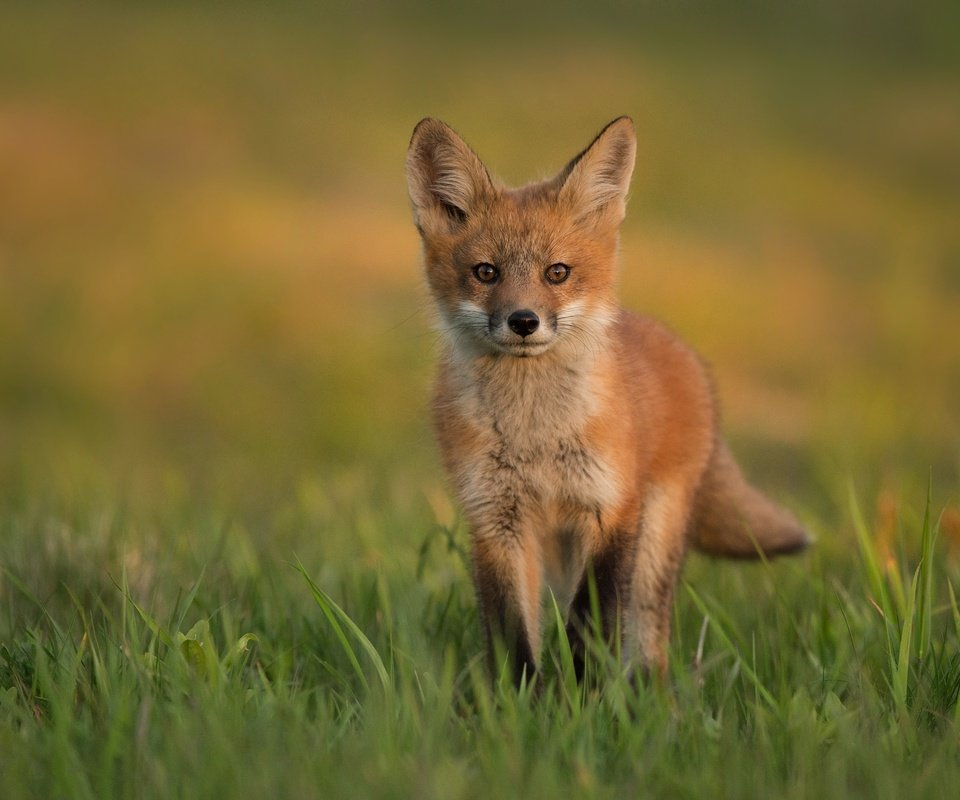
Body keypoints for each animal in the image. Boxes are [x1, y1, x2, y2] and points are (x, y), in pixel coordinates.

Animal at [404, 115, 808, 684]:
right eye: (486, 272)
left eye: (557, 272)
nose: (523, 321)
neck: (536, 434)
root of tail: (687, 356)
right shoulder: (496, 519)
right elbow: (513, 633)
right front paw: (521, 700)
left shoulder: (610, 509)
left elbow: (589, 622)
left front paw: (583, 695)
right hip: (556, 551)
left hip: (652, 541)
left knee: (646, 635)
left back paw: (646, 693)